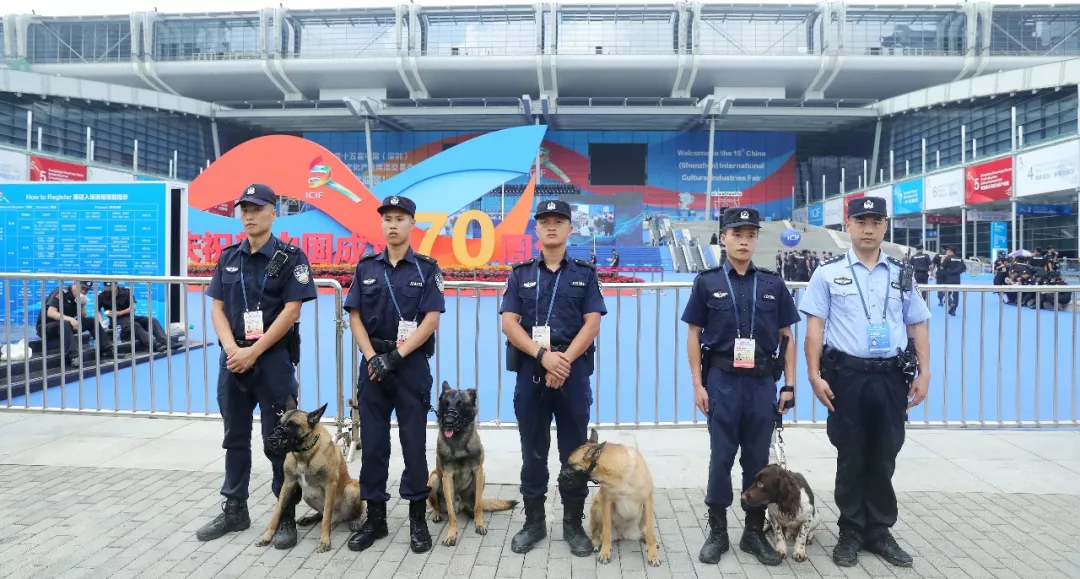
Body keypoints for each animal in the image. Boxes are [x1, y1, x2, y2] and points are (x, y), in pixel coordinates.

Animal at [256, 396, 365, 553]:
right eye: (279, 423)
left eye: (292, 426)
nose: (271, 440)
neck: (304, 454)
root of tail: (339, 518)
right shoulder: (288, 484)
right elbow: (277, 512)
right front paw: (267, 536)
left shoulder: (330, 485)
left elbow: (326, 518)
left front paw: (324, 541)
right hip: (307, 494)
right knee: (321, 514)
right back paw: (309, 518)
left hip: (351, 489)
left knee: (352, 512)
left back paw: (355, 521)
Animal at [427, 381, 518, 546]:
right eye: (446, 403)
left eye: (461, 404)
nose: (448, 422)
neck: (458, 442)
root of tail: (461, 505)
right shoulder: (447, 477)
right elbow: (451, 512)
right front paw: (451, 534)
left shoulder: (478, 470)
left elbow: (478, 505)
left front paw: (479, 523)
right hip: (434, 479)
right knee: (436, 504)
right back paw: (437, 513)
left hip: (482, 477)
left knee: (474, 503)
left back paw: (471, 513)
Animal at [559, 428, 661, 567]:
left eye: (570, 465)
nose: (559, 478)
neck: (620, 473)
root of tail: (623, 535)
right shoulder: (606, 502)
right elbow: (606, 530)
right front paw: (605, 552)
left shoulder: (648, 501)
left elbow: (650, 531)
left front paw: (653, 555)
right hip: (597, 507)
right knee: (596, 532)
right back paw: (596, 542)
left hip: (644, 516)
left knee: (645, 532)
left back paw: (650, 540)